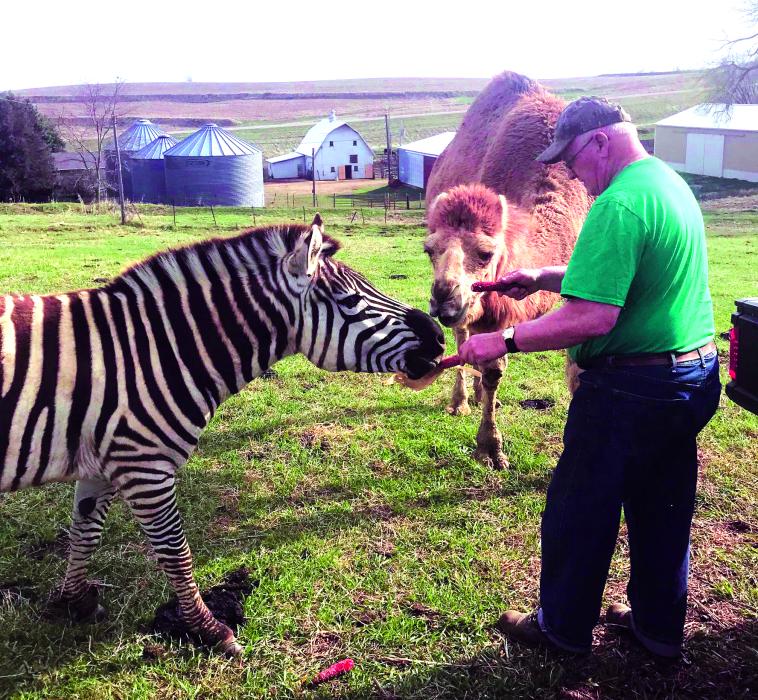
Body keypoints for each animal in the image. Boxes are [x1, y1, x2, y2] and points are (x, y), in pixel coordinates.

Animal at [0, 214, 444, 656]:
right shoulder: (145, 466)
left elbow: (85, 531)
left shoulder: (103, 460)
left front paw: (76, 603)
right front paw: (210, 630)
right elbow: (175, 552)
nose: (440, 338)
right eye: (350, 300)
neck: (157, 351)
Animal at [424, 71, 591, 470]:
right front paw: (490, 448)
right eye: (428, 250)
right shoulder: (488, 309)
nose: (443, 300)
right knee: (462, 341)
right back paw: (460, 402)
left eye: (486, 253)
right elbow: (492, 369)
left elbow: (578, 366)